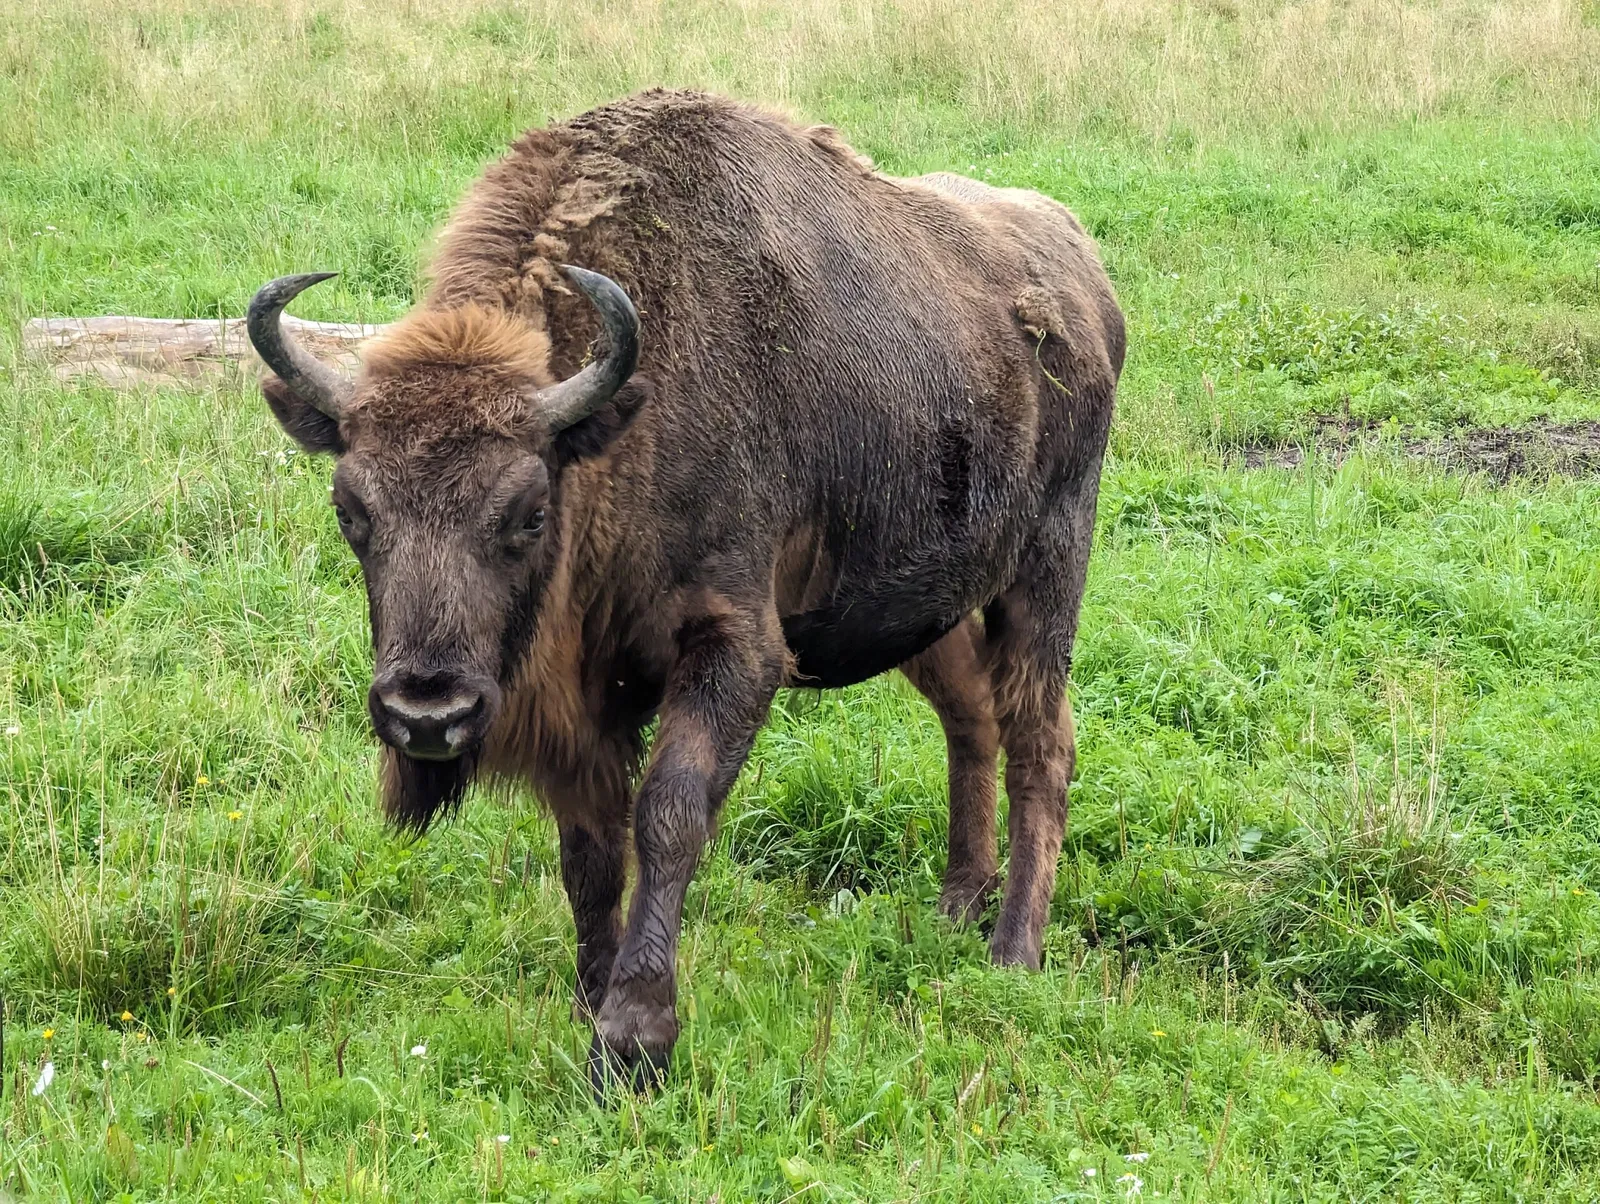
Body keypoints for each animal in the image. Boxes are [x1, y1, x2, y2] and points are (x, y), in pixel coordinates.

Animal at [250, 89, 1124, 1084]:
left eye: (528, 511)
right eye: (350, 509)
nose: (426, 715)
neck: (612, 424)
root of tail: (1082, 270)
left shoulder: (735, 648)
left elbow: (667, 814)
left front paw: (634, 1041)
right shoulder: (583, 699)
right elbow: (587, 849)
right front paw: (591, 1000)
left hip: (1046, 572)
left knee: (1041, 743)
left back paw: (1014, 952)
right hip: (922, 606)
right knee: (971, 720)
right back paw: (953, 909)